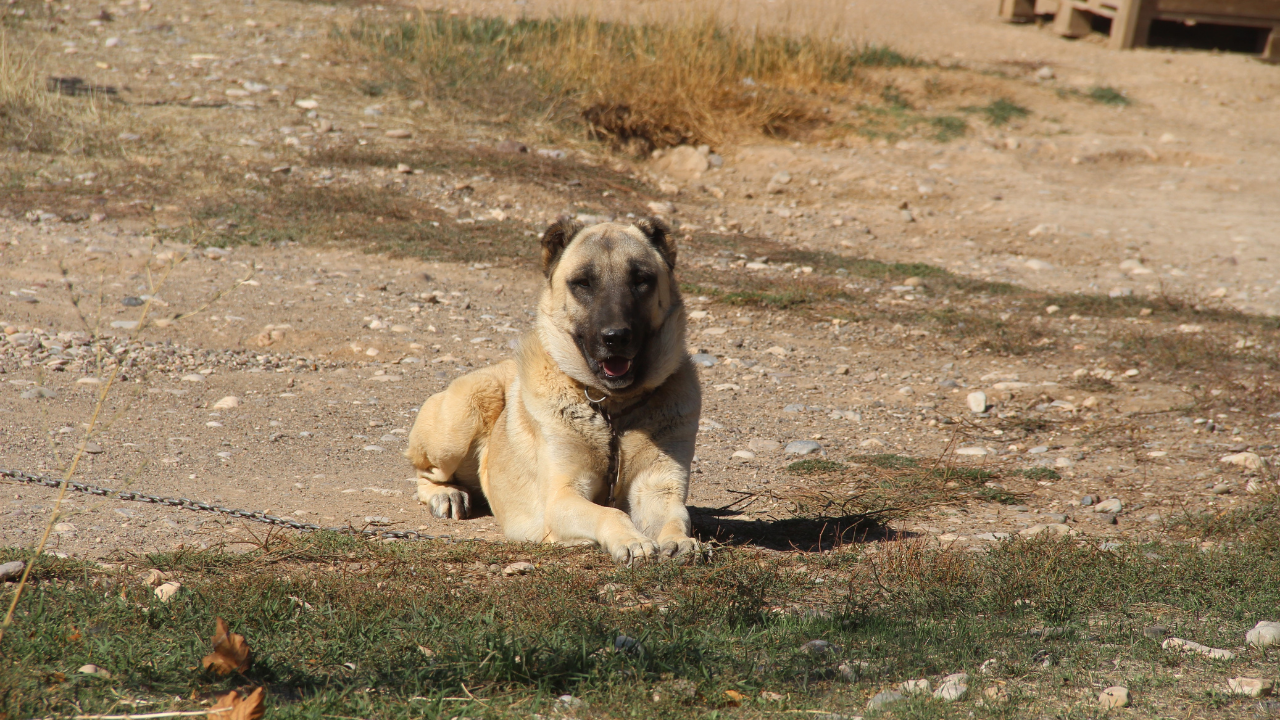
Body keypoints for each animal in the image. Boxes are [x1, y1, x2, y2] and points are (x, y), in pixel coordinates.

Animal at [404, 215, 701, 558]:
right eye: (583, 283)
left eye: (641, 279)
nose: (616, 337)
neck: (612, 409)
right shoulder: (562, 497)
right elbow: (610, 512)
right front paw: (631, 540)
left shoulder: (659, 488)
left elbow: (677, 515)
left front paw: (679, 541)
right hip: (461, 418)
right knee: (424, 472)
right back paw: (447, 494)